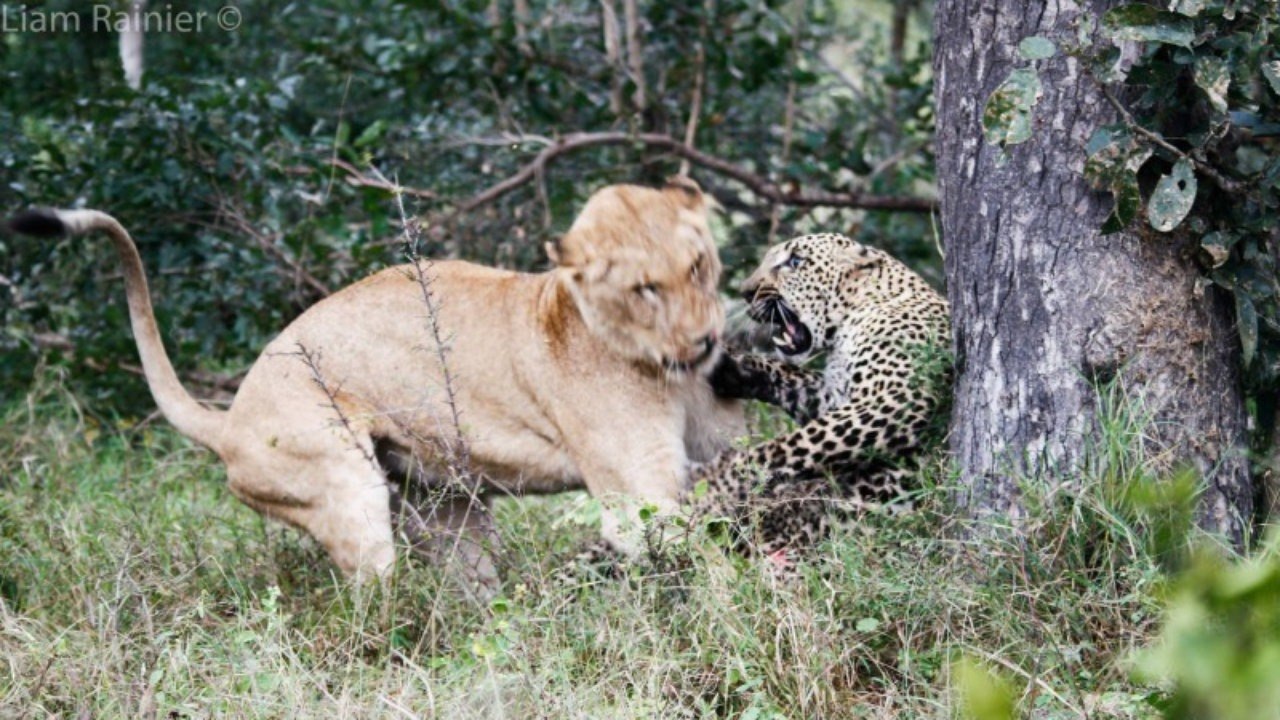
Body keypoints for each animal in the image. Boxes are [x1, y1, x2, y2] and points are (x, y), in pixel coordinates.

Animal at [8, 179, 745, 587]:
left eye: (698, 265)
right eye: (645, 289)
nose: (706, 342)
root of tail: (231, 414)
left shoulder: (716, 450)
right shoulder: (637, 499)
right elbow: (706, 554)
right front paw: (741, 604)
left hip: (449, 509)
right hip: (345, 489)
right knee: (374, 603)